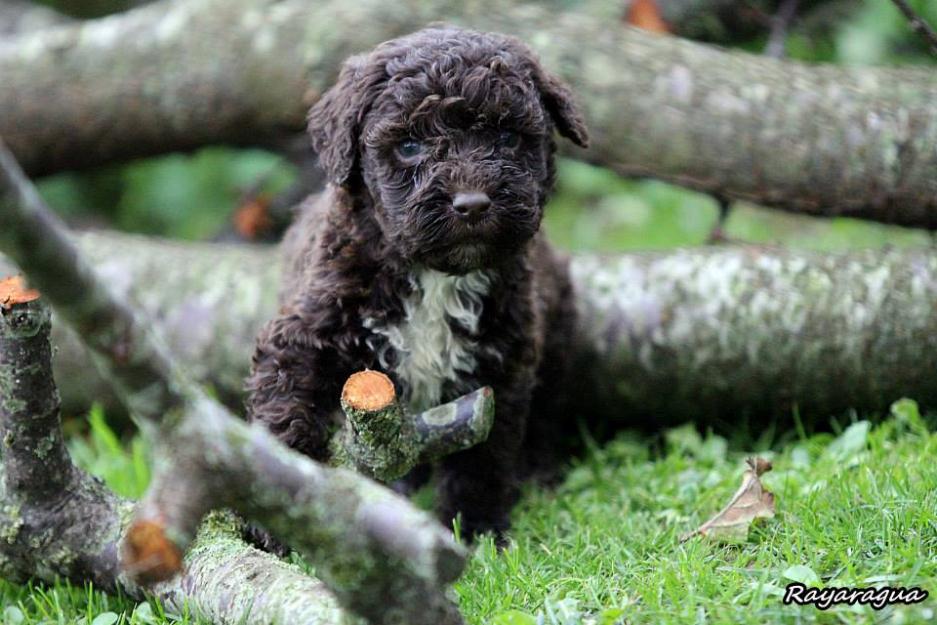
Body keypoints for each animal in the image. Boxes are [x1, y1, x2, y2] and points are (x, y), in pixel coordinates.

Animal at [247, 24, 584, 540]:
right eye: (409, 146)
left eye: (508, 137)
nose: (472, 204)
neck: (433, 275)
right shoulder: (301, 337)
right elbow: (284, 410)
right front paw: (275, 508)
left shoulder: (500, 361)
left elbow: (483, 453)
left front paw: (475, 526)